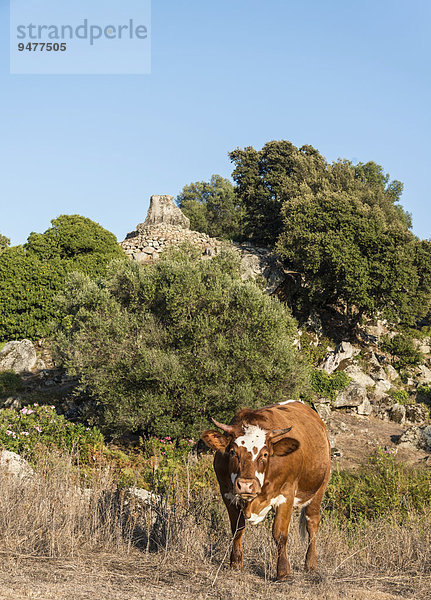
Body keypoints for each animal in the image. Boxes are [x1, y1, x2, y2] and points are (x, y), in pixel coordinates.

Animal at [202, 400, 330, 580]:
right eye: (233, 452)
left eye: (264, 454)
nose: (246, 485)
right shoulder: (227, 494)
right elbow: (237, 529)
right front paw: (235, 563)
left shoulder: (286, 494)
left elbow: (280, 534)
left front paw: (283, 572)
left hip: (319, 487)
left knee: (312, 523)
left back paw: (310, 564)